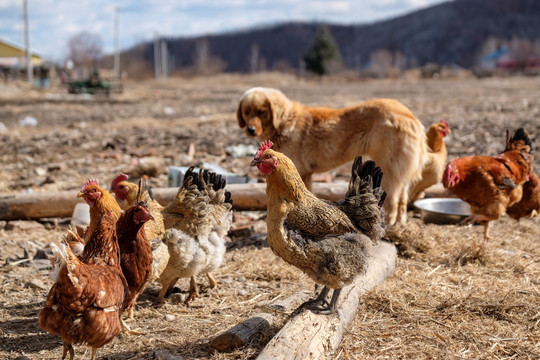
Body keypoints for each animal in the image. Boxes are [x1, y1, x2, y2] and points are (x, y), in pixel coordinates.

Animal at [236, 87, 426, 224]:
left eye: (261, 111)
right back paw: (400, 222)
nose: (250, 130)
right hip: (400, 169)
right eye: (246, 111)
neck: (284, 122)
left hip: (389, 167)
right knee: (403, 200)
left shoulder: (300, 171)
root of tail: (411, 116)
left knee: (392, 201)